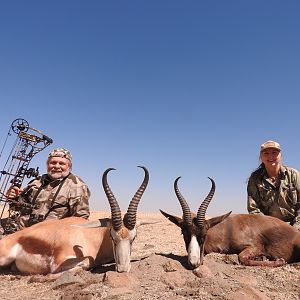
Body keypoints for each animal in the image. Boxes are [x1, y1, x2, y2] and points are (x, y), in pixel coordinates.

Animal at [0, 166, 149, 274]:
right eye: (112, 237)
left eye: (134, 238)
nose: (123, 269)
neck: (94, 236)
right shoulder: (60, 262)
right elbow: (78, 265)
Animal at [162, 176, 300, 268]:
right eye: (183, 233)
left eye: (204, 235)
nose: (193, 263)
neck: (227, 229)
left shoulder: (255, 247)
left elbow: (242, 258)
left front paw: (279, 261)